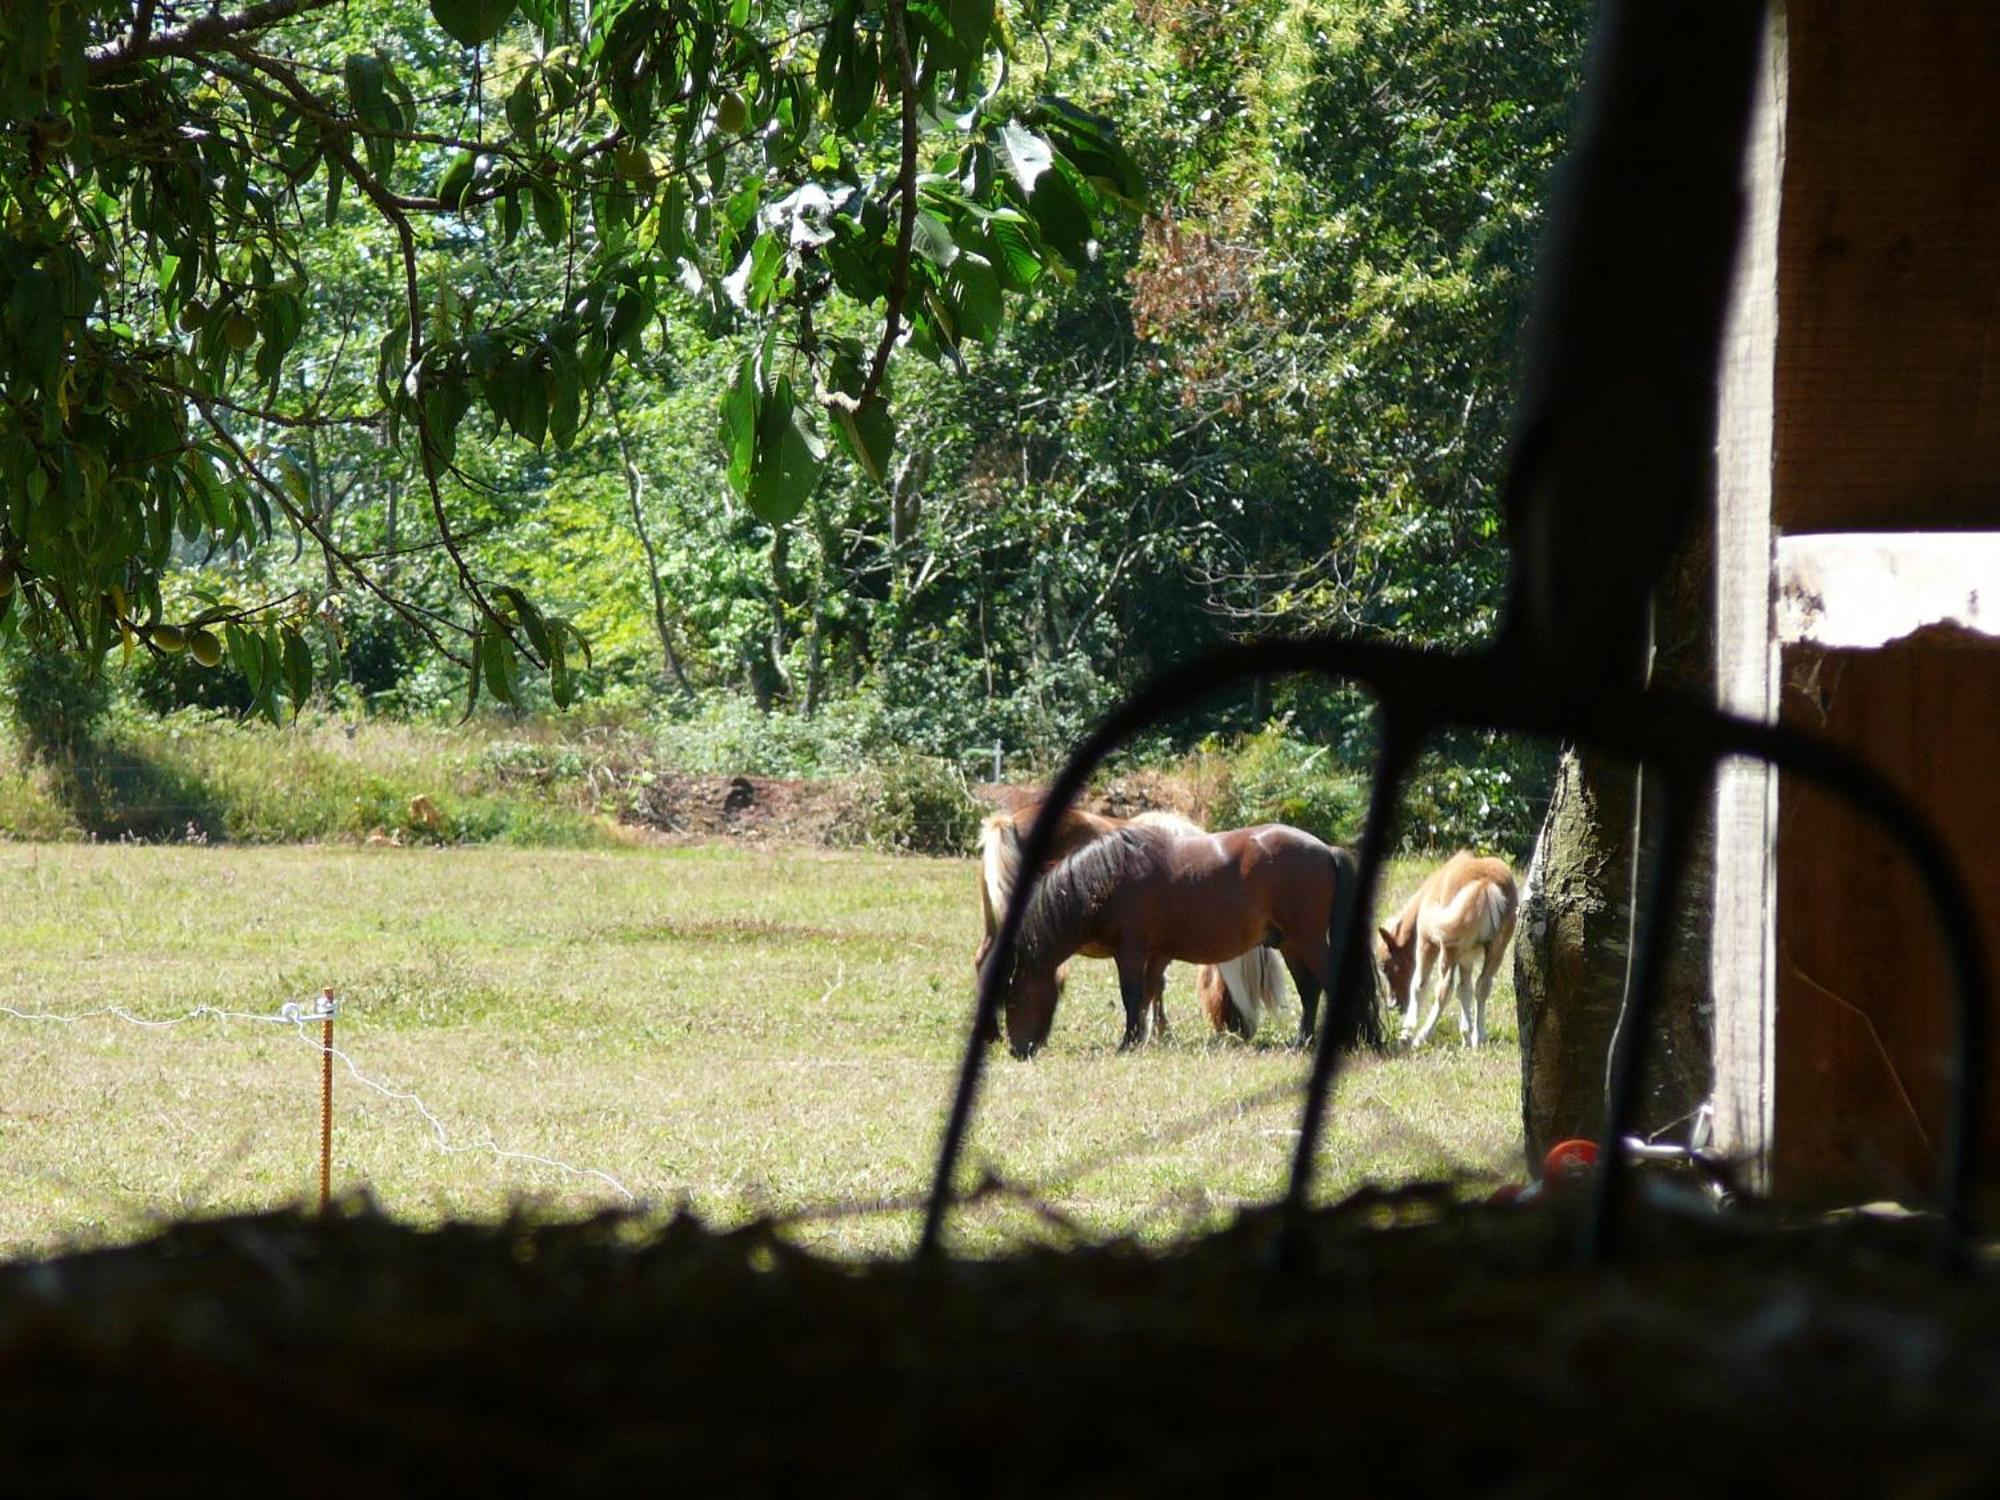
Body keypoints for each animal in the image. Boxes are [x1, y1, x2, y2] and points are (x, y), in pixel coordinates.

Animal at [1000, 828, 1376, 1064]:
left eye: (1014, 997)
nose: (1017, 1050)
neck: (1108, 878)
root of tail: (1326, 850)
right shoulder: (1155, 955)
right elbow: (1149, 994)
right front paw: (1146, 1038)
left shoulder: (1130, 951)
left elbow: (1132, 995)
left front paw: (1128, 1042)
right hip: (1290, 944)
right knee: (1309, 990)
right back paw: (1302, 1042)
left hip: (1307, 940)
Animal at [1376, 852, 1512, 1048]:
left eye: (1385, 966)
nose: (1392, 1005)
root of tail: (1484, 882)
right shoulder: (1466, 957)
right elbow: (1465, 990)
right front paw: (1466, 1035)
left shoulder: (1426, 943)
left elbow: (1418, 985)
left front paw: (1406, 1032)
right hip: (1497, 949)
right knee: (1483, 985)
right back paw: (1479, 1037)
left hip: (1449, 948)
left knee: (1444, 988)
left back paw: (1422, 1036)